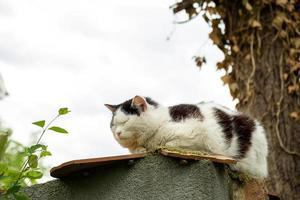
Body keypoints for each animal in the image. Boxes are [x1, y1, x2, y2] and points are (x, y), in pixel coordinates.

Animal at [105, 95, 268, 178]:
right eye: (113, 125)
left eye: (125, 121)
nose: (117, 132)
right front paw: (140, 150)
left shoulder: (197, 134)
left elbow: (167, 144)